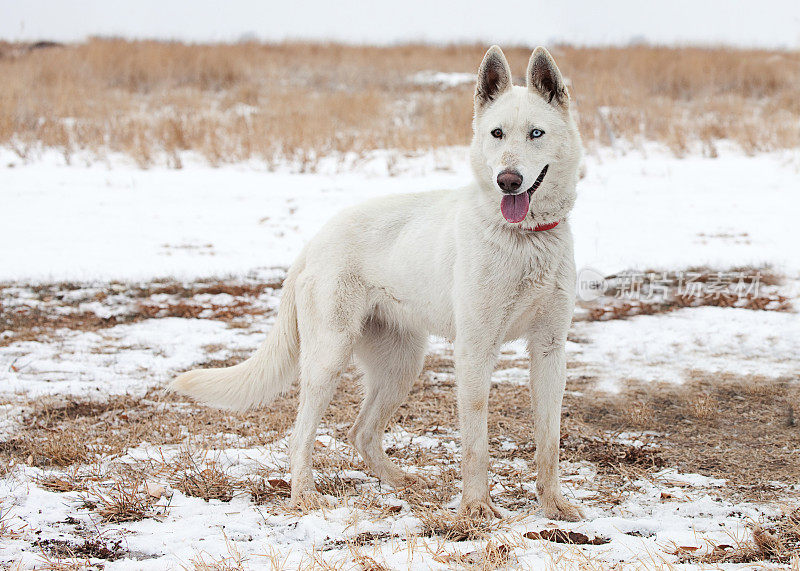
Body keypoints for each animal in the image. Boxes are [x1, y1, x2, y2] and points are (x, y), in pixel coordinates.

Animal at [175, 45, 584, 524]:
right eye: (497, 133)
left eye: (536, 133)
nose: (508, 180)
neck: (524, 238)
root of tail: (313, 241)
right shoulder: (475, 350)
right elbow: (475, 445)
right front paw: (476, 508)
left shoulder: (550, 350)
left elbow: (549, 443)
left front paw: (553, 505)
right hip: (329, 359)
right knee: (300, 435)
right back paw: (305, 496)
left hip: (401, 366)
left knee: (361, 432)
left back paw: (403, 482)